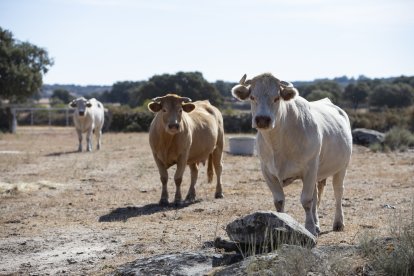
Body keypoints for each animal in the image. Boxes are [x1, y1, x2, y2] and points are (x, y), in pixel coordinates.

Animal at [231, 73, 350, 235]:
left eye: (276, 98)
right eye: (252, 97)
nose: (262, 119)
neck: (278, 144)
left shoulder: (310, 168)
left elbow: (306, 201)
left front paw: (310, 228)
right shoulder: (267, 171)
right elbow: (279, 201)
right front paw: (284, 223)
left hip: (341, 167)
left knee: (338, 192)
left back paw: (338, 223)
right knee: (316, 195)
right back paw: (317, 224)